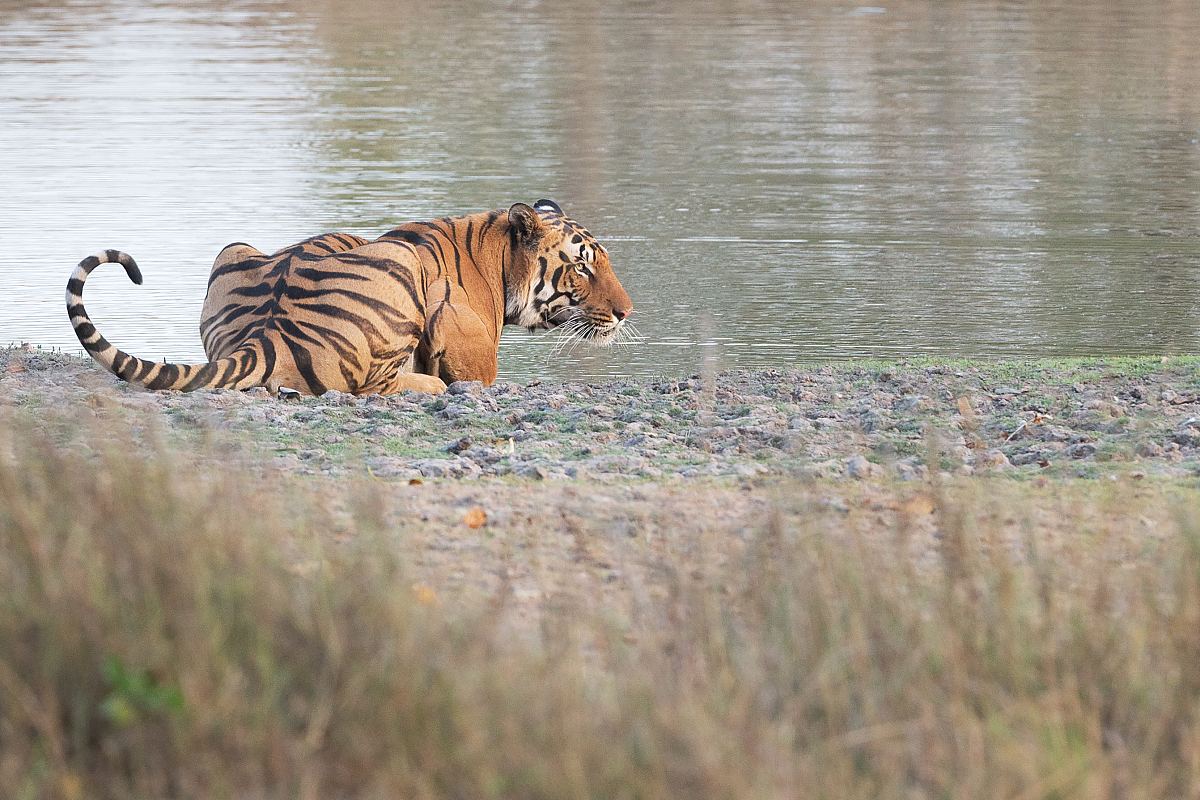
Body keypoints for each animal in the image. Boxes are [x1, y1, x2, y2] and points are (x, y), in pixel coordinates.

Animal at [64, 200, 633, 393]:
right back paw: (429, 386)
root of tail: (264, 333)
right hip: (402, 265)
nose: (627, 313)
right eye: (583, 265)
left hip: (234, 247)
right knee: (374, 389)